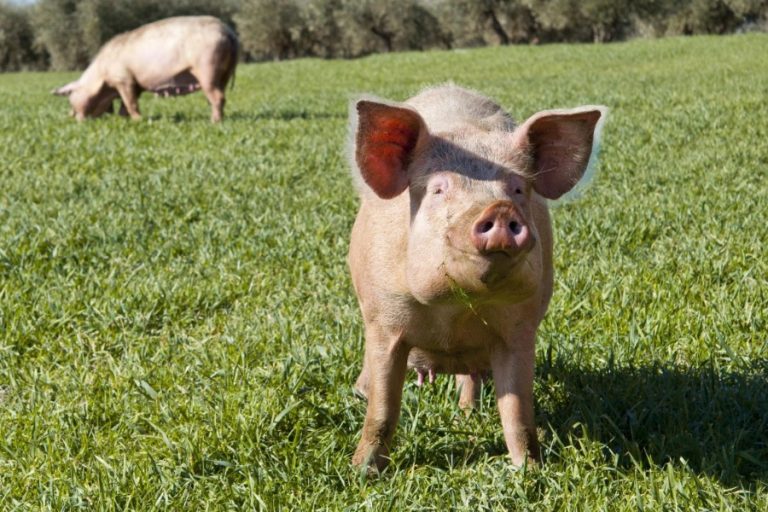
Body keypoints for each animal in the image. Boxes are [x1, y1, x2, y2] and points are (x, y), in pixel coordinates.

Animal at [52, 16, 238, 123]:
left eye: (70, 96)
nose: (70, 117)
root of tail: (228, 31)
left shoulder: (123, 79)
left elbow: (130, 102)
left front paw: (139, 121)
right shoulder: (135, 84)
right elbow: (125, 104)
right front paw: (123, 119)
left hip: (207, 66)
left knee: (218, 96)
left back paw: (214, 122)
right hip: (224, 72)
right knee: (220, 95)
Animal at [348, 85, 606, 472]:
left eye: (518, 189)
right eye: (438, 189)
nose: (498, 210)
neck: (455, 311)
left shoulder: (520, 328)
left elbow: (518, 413)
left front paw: (529, 471)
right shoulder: (384, 320)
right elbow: (382, 409)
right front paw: (361, 473)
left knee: (469, 379)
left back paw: (467, 414)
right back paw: (359, 393)